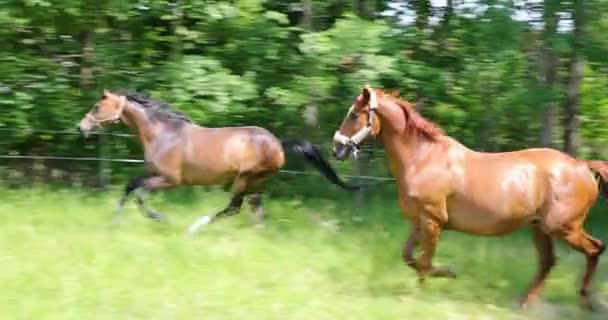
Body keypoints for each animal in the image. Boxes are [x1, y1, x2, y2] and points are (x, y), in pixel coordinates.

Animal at [80, 89, 356, 232]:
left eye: (96, 107)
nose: (81, 126)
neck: (162, 133)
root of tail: (278, 144)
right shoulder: (154, 175)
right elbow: (130, 187)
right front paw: (115, 221)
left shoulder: (170, 180)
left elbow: (138, 194)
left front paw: (160, 218)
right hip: (257, 183)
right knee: (256, 210)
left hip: (245, 178)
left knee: (234, 207)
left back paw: (196, 228)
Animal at [332, 85, 608, 310]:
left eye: (354, 115)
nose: (337, 149)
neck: (423, 159)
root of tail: (582, 165)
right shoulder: (419, 222)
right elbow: (410, 257)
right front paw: (441, 276)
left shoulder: (432, 221)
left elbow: (424, 261)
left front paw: (437, 282)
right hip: (541, 228)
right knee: (548, 262)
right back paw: (525, 303)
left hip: (564, 228)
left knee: (595, 249)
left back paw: (586, 299)